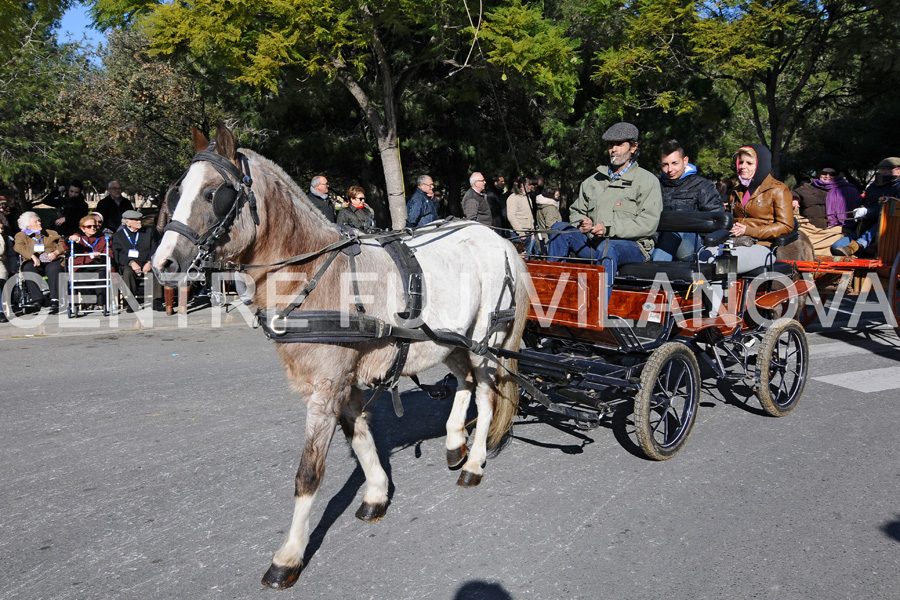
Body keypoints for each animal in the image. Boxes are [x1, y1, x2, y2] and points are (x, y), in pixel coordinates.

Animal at [148, 126, 528, 592]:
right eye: (176, 192)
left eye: (213, 194)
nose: (162, 263)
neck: (315, 276)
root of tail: (498, 239)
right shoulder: (339, 382)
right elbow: (360, 436)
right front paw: (377, 493)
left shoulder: (327, 386)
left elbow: (309, 473)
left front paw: (289, 555)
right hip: (447, 341)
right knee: (465, 383)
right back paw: (456, 440)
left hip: (484, 340)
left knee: (487, 396)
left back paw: (473, 462)